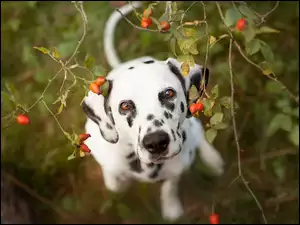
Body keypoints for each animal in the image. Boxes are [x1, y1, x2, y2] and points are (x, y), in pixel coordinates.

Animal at [81, 1, 224, 221]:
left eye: (168, 93)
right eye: (125, 105)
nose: (156, 142)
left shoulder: (177, 168)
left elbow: (170, 186)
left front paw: (171, 208)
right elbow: (114, 181)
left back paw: (213, 159)